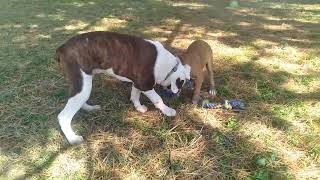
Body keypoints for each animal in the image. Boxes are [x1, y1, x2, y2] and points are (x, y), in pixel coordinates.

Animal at [56, 31, 190, 144]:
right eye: (182, 84)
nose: (178, 93)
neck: (169, 67)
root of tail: (62, 48)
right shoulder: (145, 85)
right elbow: (157, 99)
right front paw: (168, 110)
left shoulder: (138, 83)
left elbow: (135, 95)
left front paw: (139, 107)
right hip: (82, 83)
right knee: (63, 116)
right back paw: (73, 138)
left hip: (83, 85)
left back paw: (90, 108)